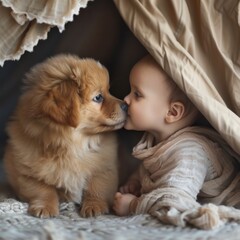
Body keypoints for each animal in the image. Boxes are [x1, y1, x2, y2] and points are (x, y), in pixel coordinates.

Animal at [3, 53, 127, 218]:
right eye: (98, 97)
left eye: (109, 91)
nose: (126, 105)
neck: (72, 145)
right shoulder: (27, 174)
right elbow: (43, 190)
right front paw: (45, 207)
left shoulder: (105, 169)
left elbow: (97, 188)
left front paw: (95, 206)